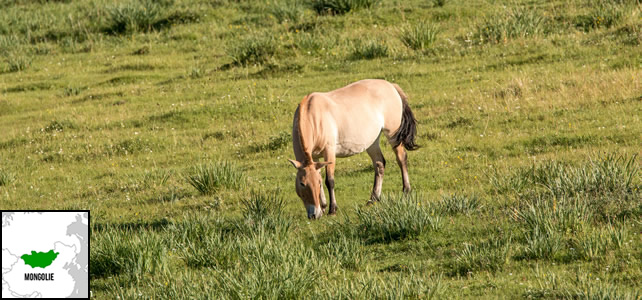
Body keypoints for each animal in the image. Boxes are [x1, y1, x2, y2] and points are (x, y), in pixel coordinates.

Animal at [288, 79, 418, 220]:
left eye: (317, 183)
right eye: (302, 183)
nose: (314, 214)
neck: (314, 116)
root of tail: (391, 86)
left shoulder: (329, 153)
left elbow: (329, 180)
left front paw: (332, 209)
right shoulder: (315, 158)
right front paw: (323, 207)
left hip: (393, 134)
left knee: (401, 158)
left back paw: (406, 190)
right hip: (372, 142)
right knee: (379, 164)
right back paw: (373, 199)